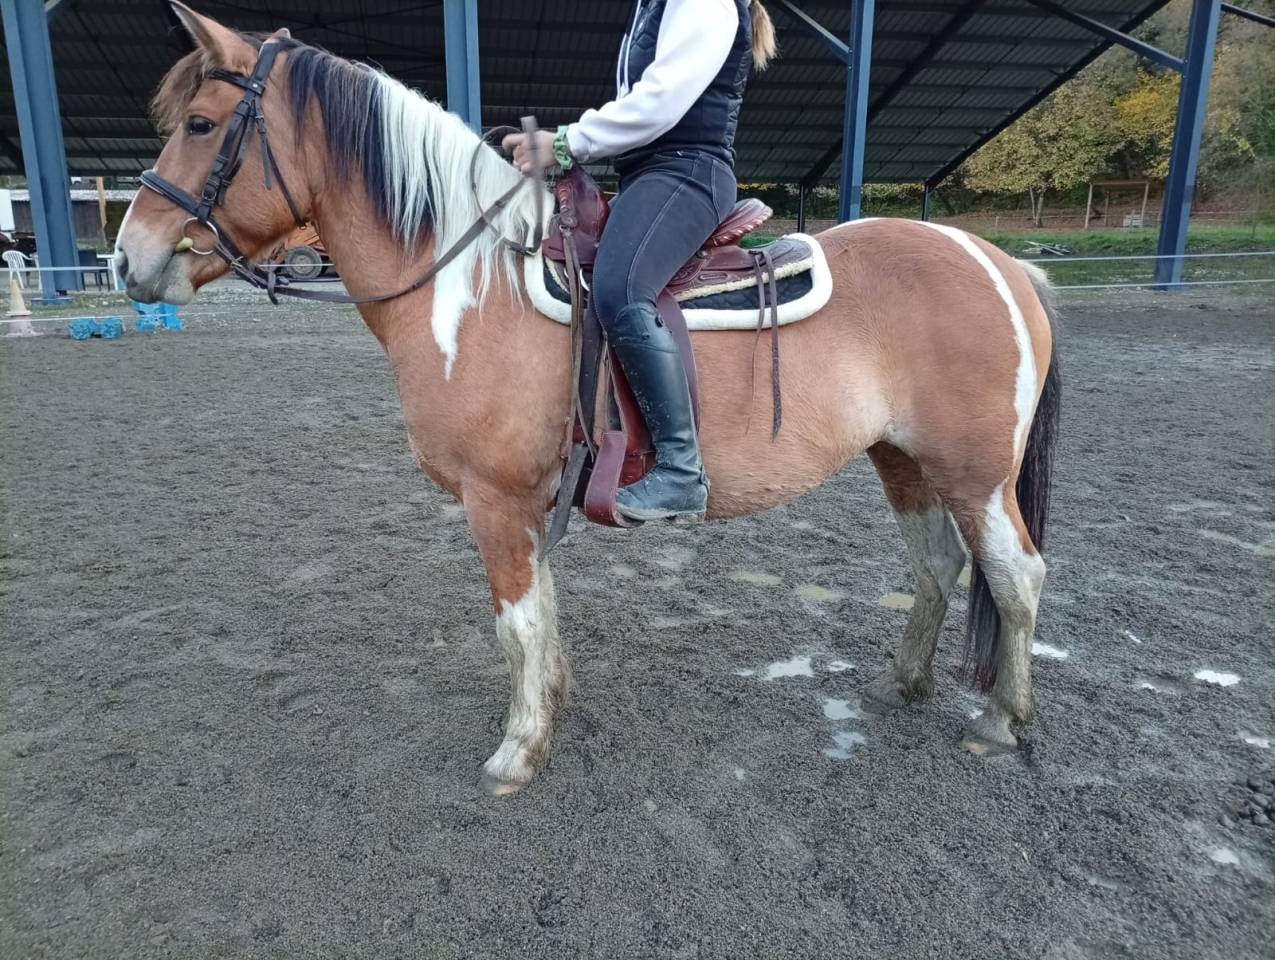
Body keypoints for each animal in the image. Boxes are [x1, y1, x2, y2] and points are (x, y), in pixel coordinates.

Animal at [116, 3, 1061, 796]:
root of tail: (1000, 263)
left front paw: (516, 751)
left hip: (975, 473)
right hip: (904, 461)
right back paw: (906, 682)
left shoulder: (493, 500)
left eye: (201, 124)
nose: (129, 259)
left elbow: (515, 624)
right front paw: (552, 707)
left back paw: (999, 720)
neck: (467, 285)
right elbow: (542, 615)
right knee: (937, 566)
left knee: (1015, 576)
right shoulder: (525, 503)